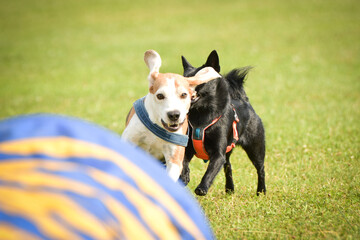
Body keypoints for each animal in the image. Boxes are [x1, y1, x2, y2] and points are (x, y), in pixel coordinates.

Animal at [179, 50, 266, 195]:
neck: (201, 114)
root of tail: (244, 100)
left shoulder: (218, 154)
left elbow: (210, 172)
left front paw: (202, 188)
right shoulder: (188, 147)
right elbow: (183, 162)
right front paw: (184, 176)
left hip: (256, 147)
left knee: (261, 169)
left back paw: (261, 191)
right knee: (228, 166)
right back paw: (229, 189)